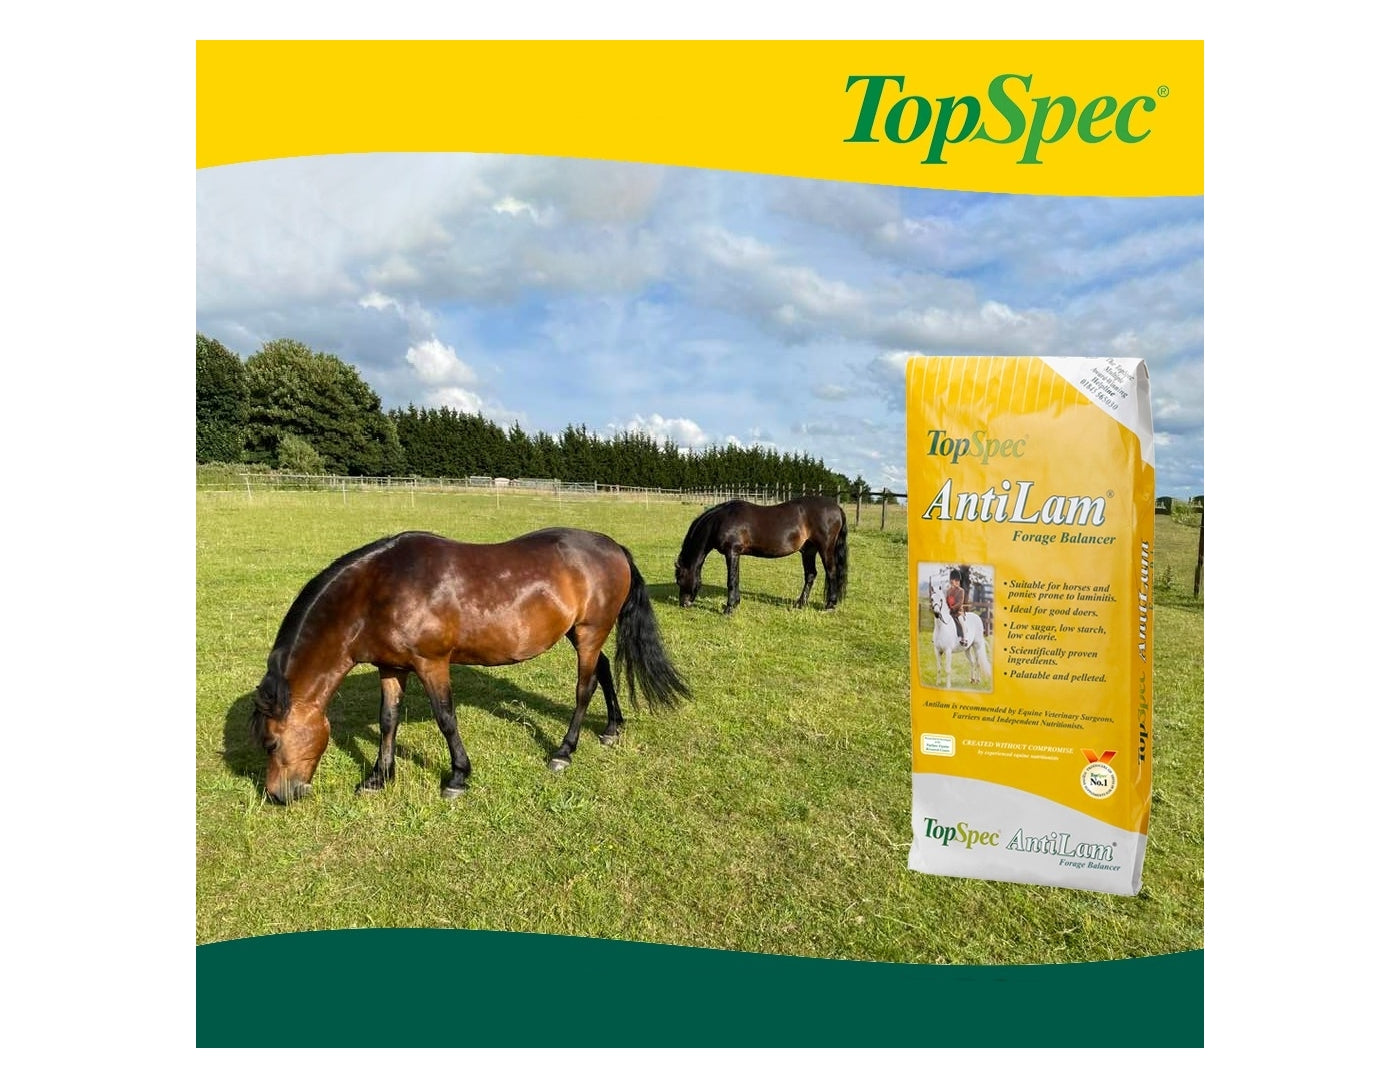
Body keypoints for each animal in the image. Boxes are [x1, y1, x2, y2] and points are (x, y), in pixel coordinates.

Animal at [250, 529, 690, 804]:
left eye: (270, 743)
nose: (277, 795)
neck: (377, 589)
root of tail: (613, 547)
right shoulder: (391, 667)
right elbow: (388, 719)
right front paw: (378, 777)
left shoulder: (432, 664)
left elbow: (446, 718)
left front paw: (458, 776)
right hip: (581, 634)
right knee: (603, 670)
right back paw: (613, 727)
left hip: (589, 631)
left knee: (585, 689)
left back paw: (564, 751)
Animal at [674, 496, 848, 614]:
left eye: (679, 580)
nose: (684, 604)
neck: (720, 520)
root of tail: (837, 508)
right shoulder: (736, 554)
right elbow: (736, 579)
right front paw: (735, 603)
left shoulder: (731, 552)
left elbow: (731, 580)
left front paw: (729, 608)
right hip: (809, 550)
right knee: (811, 574)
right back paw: (799, 604)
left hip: (825, 548)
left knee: (831, 573)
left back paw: (830, 605)